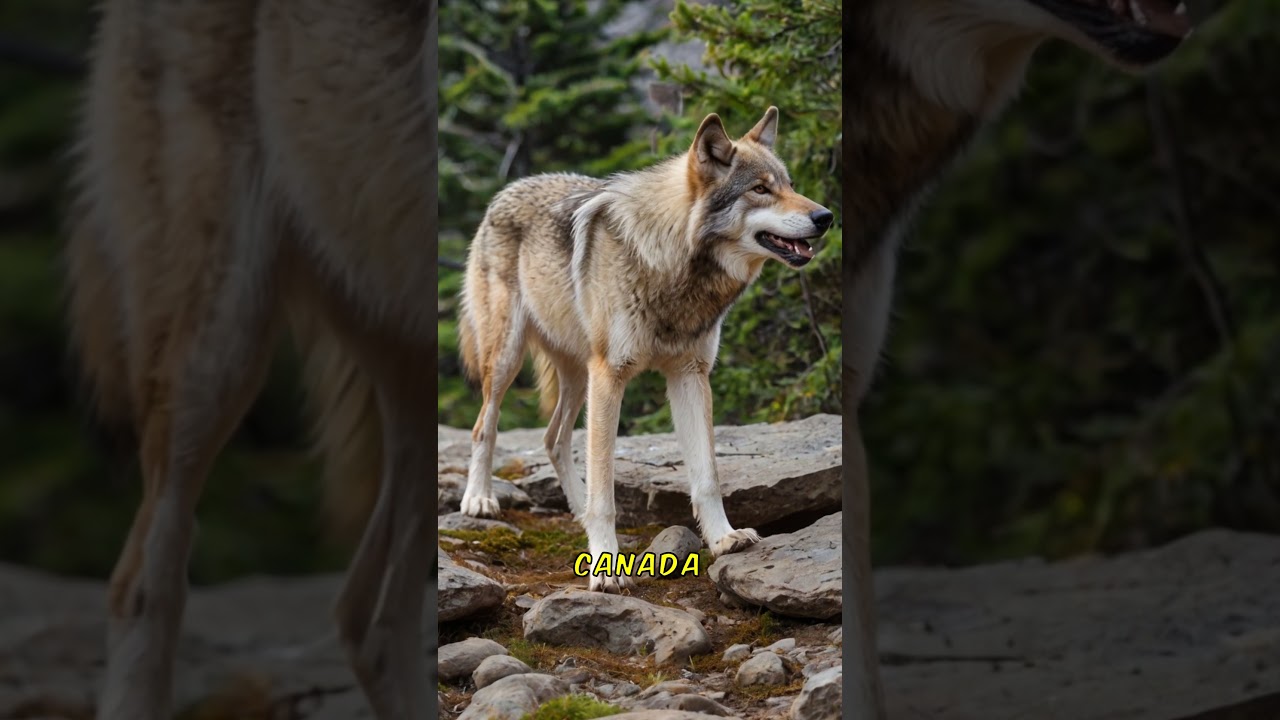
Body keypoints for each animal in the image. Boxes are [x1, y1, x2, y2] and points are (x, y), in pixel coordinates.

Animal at [456, 106, 834, 592]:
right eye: (760, 189)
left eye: (788, 184)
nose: (826, 216)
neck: (673, 266)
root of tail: (506, 189)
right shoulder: (611, 375)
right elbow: (606, 492)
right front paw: (605, 568)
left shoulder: (690, 374)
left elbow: (706, 476)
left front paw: (724, 538)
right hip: (510, 359)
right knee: (483, 426)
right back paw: (479, 499)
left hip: (578, 374)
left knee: (553, 438)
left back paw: (576, 513)